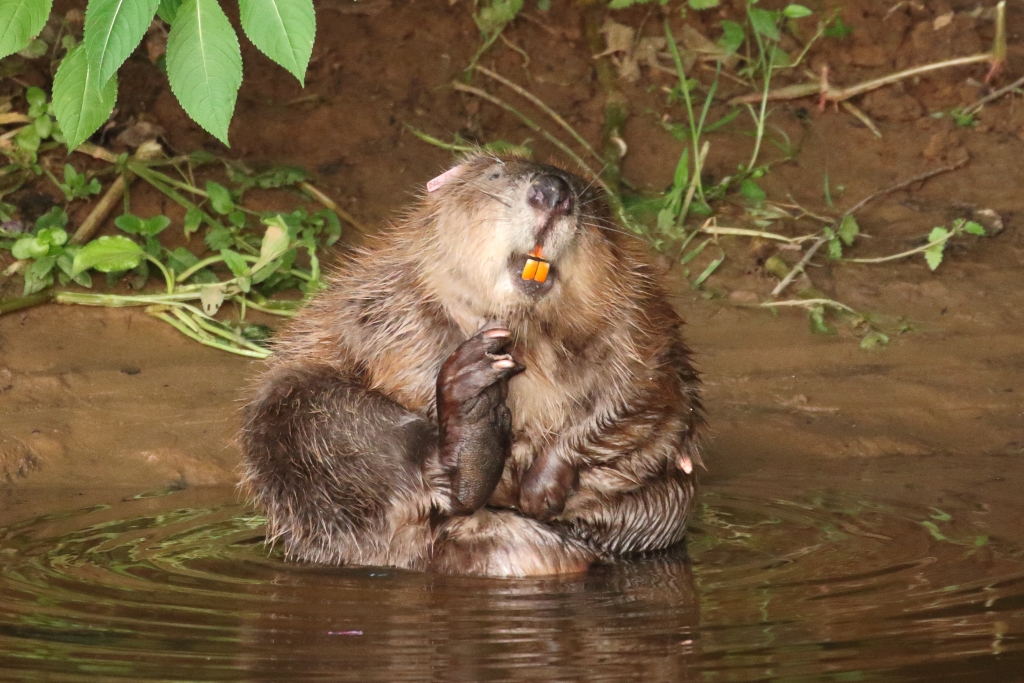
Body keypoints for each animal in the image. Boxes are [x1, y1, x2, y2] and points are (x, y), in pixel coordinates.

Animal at [240, 153, 703, 577]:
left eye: (591, 198)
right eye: (495, 174)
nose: (553, 192)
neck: (530, 330)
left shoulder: (642, 320)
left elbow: (639, 398)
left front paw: (540, 488)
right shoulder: (387, 299)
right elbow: (397, 357)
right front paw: (485, 366)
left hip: (669, 507)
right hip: (294, 411)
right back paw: (471, 410)